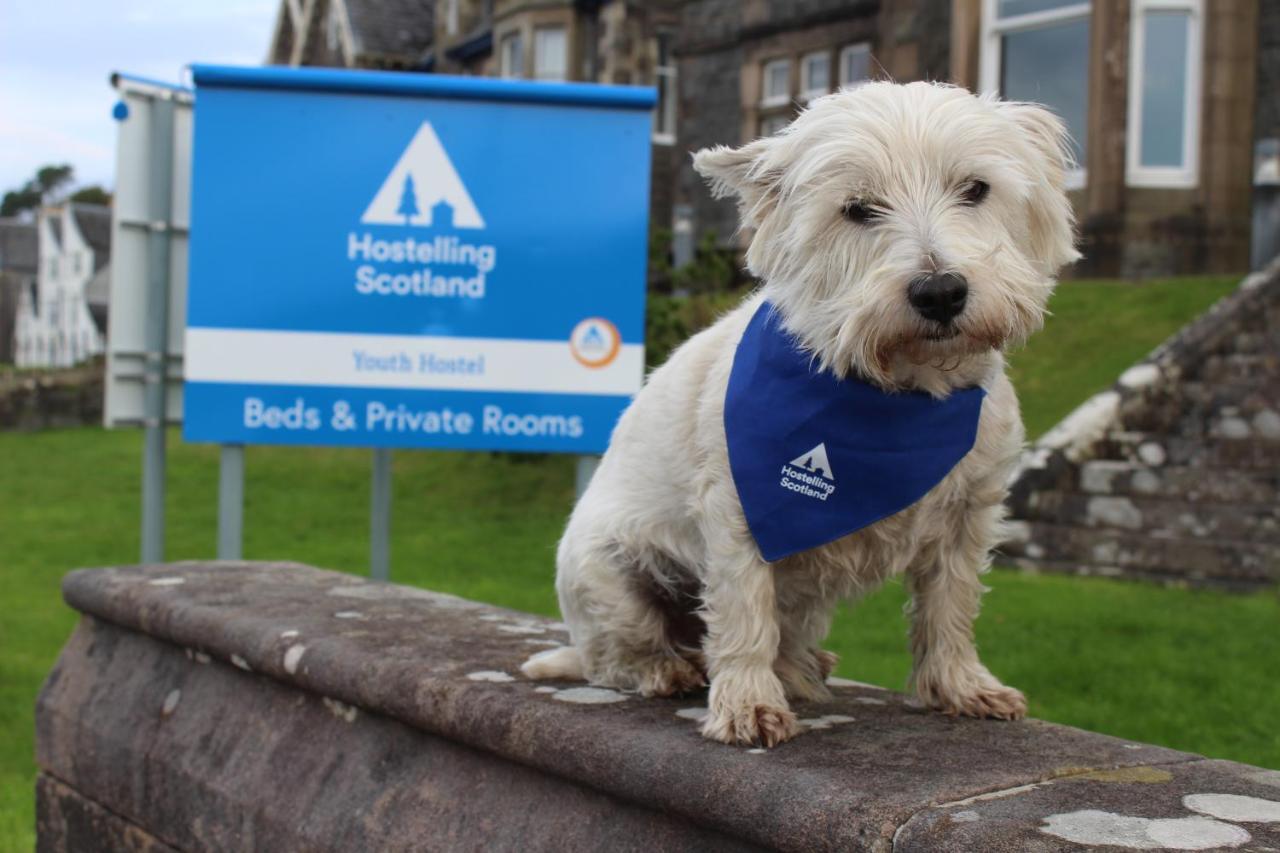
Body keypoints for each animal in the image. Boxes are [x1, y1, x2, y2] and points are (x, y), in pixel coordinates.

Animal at [524, 81, 1075, 742]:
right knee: (618, 651)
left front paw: (962, 686)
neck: (899, 392)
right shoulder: (741, 509)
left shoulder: (968, 513)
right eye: (858, 209)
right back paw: (668, 667)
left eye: (975, 188)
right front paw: (747, 704)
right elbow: (744, 610)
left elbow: (951, 604)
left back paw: (804, 665)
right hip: (609, 568)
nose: (940, 292)